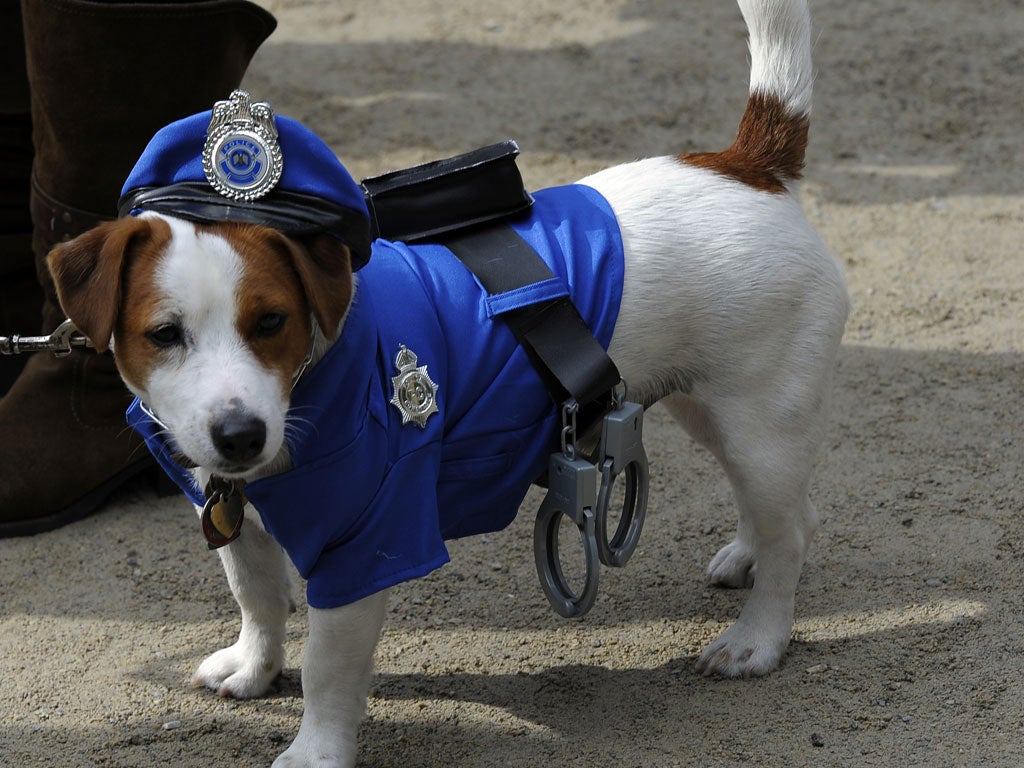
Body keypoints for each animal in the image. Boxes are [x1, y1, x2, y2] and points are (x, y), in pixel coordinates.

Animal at [46, 3, 847, 765]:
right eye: (164, 335)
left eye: (271, 321)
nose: (239, 435)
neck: (323, 376)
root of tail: (750, 164)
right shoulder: (237, 521)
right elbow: (258, 597)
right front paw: (254, 666)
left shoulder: (370, 542)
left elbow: (328, 667)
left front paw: (316, 751)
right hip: (707, 409)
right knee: (788, 512)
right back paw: (744, 554)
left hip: (759, 425)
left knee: (791, 533)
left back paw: (758, 637)